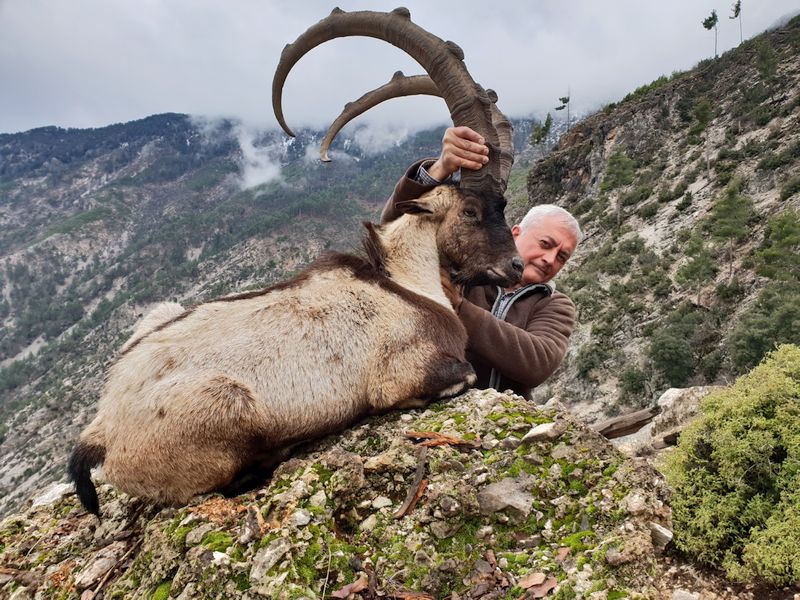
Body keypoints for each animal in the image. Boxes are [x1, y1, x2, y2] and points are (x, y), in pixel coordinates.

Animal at [69, 7, 522, 514]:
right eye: (471, 210)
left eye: (503, 205)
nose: (516, 267)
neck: (406, 283)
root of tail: (100, 434)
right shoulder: (405, 370)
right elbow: (456, 378)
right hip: (223, 406)